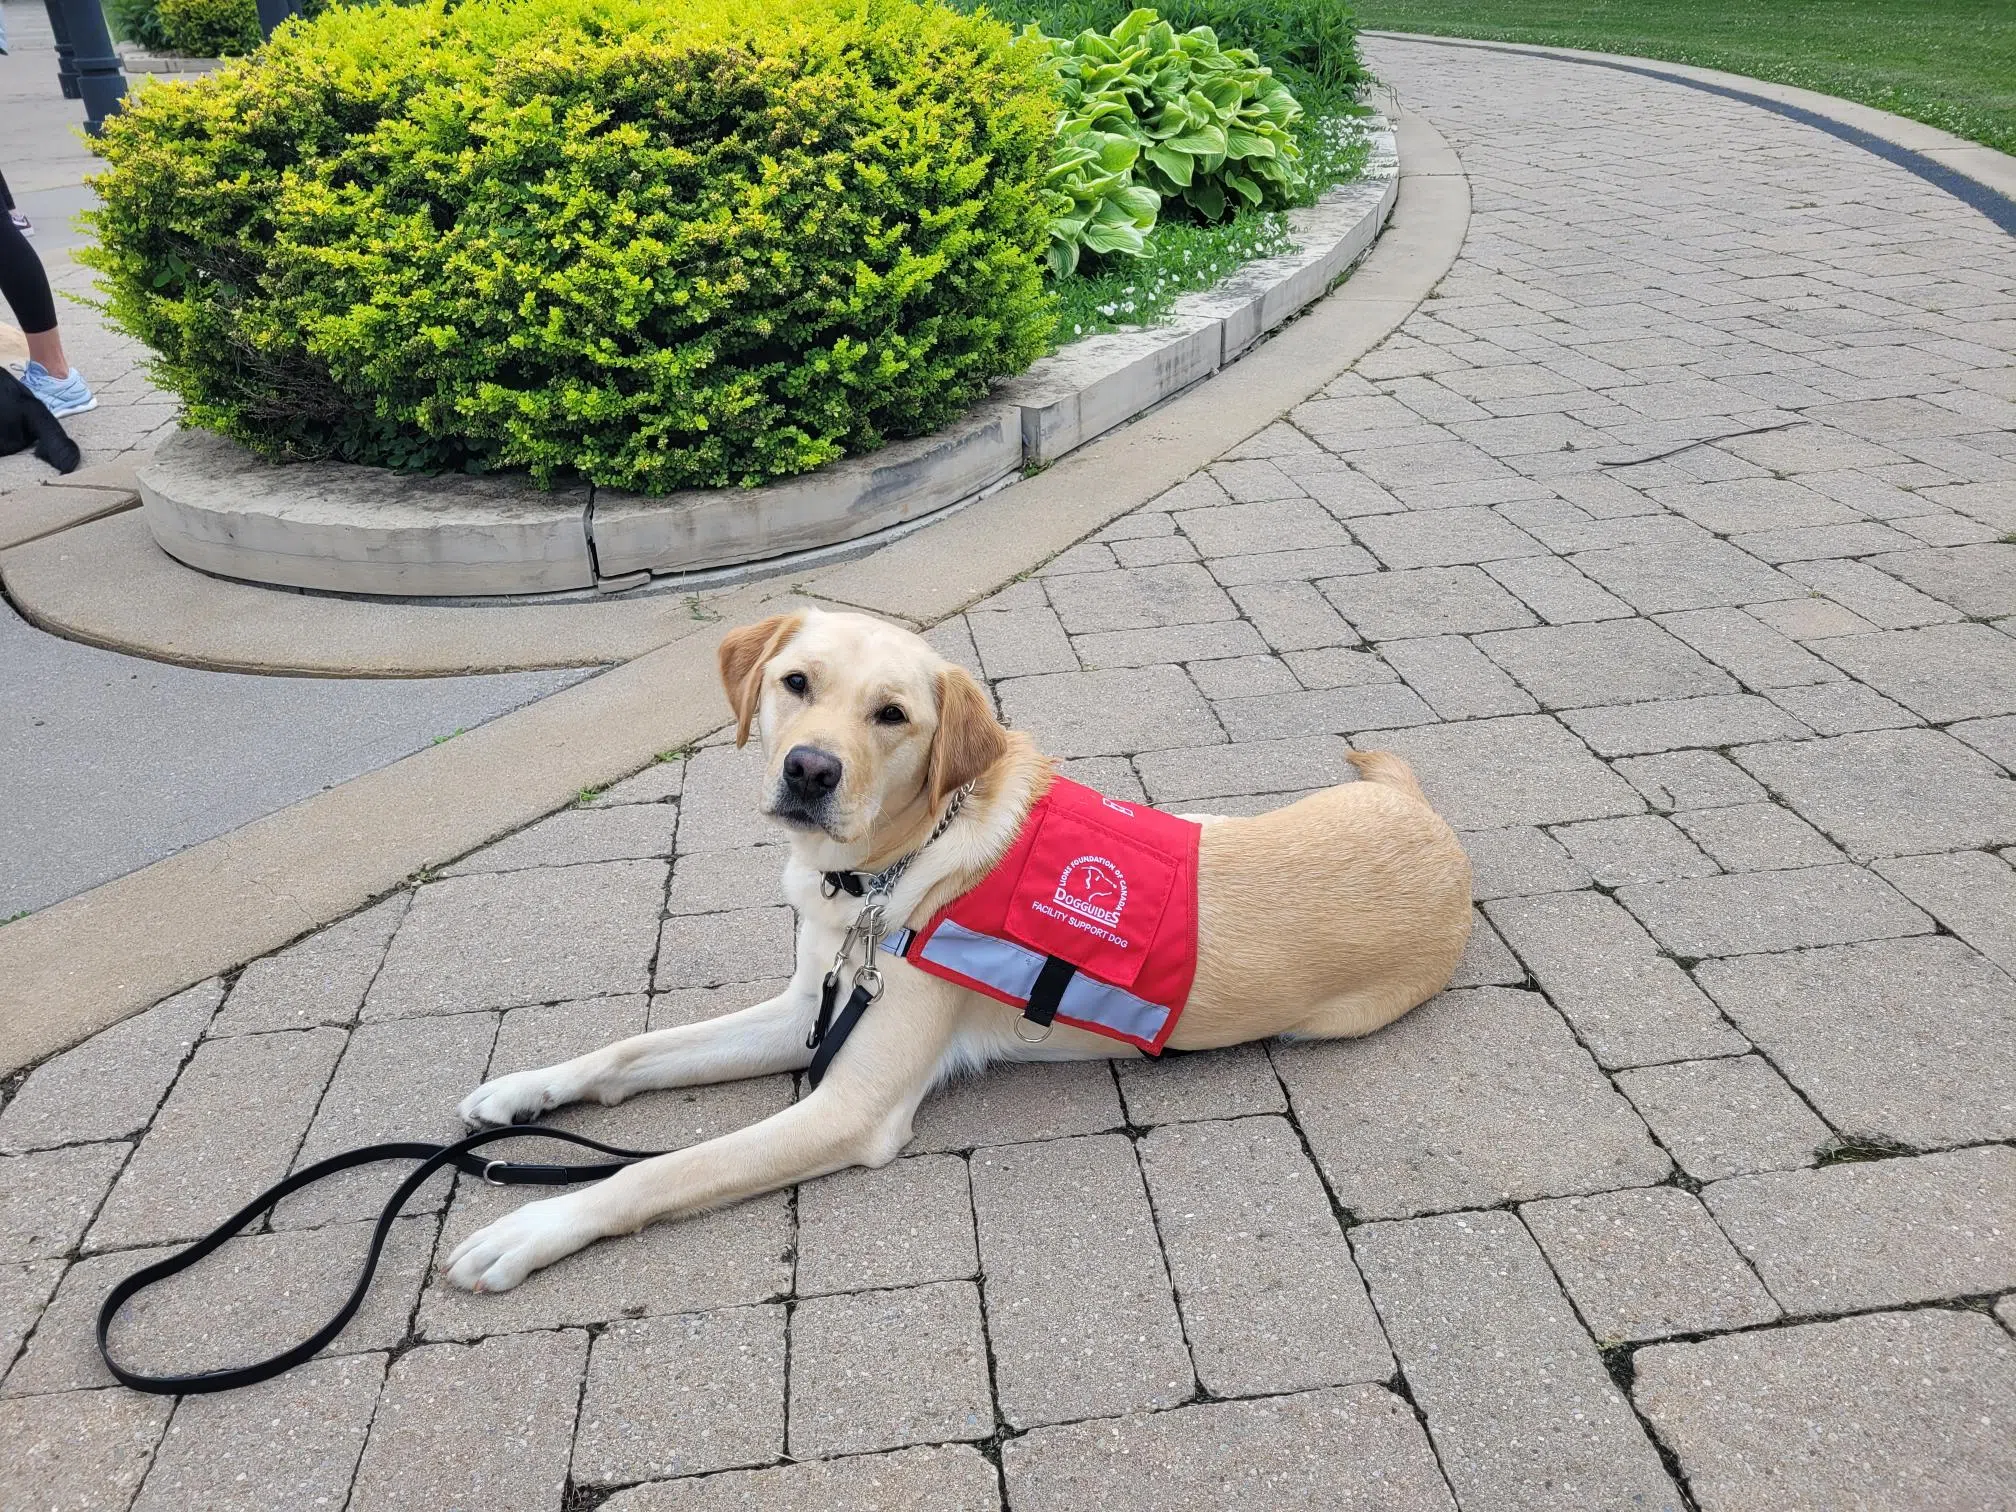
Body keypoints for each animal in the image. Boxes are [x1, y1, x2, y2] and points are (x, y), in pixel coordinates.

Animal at [445, 608, 1467, 1298]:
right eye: (796, 683)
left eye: (892, 714)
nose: (809, 770)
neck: (884, 876)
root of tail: (1430, 818)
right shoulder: (808, 1007)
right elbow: (629, 1051)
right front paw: (523, 1090)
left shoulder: (851, 1106)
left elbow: (659, 1170)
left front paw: (534, 1224)